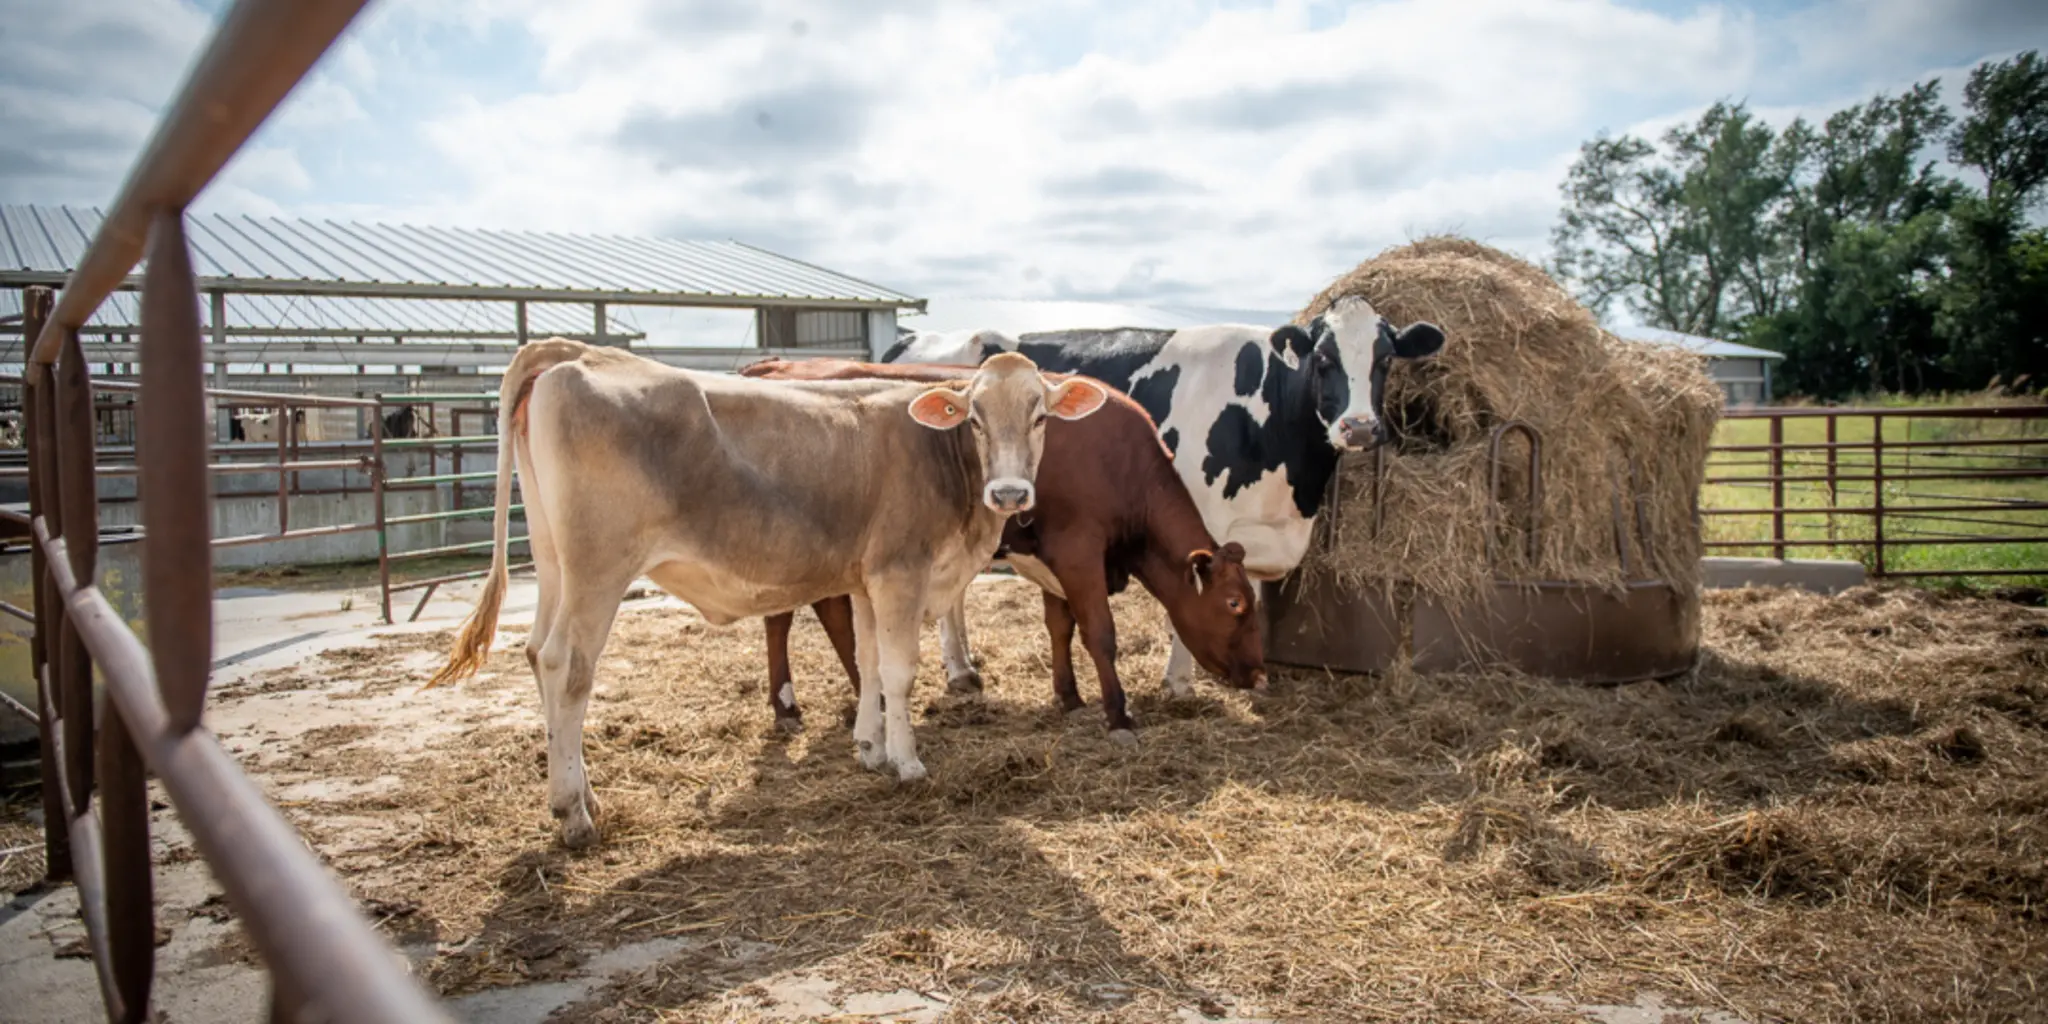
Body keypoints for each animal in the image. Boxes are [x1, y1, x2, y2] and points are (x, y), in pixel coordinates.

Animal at [737, 356, 1261, 741]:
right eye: (1235, 603)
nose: (1258, 674)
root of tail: (777, 365)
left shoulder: (1056, 555)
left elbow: (1059, 627)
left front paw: (1070, 698)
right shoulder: (1079, 551)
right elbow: (1099, 633)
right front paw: (1119, 717)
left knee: (821, 612)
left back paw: (862, 698)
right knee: (786, 618)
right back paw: (789, 707)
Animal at [888, 299, 1449, 696]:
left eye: (1385, 360)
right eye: (1324, 359)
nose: (1360, 427)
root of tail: (916, 339)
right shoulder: (1205, 518)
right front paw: (1179, 681)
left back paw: (965, 666)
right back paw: (960, 672)